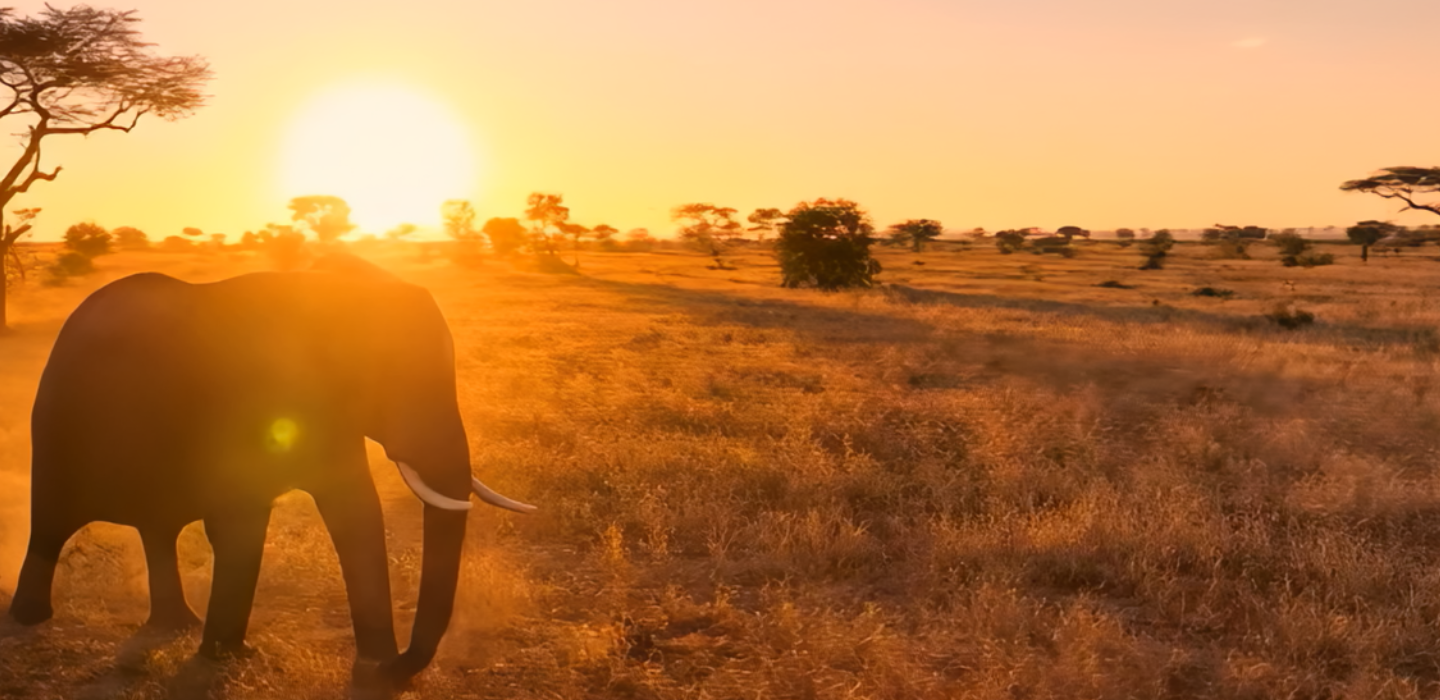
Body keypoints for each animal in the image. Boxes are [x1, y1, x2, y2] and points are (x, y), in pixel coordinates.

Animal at [6, 254, 534, 681]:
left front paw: (371, 665)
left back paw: (177, 624)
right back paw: (29, 618)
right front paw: (227, 657)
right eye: (388, 375)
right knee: (51, 523)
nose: (394, 666)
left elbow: (355, 512)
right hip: (56, 425)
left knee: (157, 531)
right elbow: (241, 522)